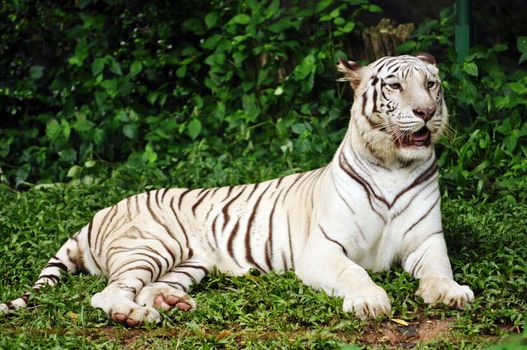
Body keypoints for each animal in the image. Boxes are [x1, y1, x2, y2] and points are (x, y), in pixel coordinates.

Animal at [0, 54, 476, 326]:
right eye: (395, 85)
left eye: (431, 83)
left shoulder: (427, 240)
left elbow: (439, 270)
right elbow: (353, 272)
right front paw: (370, 301)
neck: (392, 166)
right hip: (150, 246)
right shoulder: (323, 249)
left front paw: (451, 294)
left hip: (187, 264)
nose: (427, 112)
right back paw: (134, 315)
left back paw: (171, 304)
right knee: (108, 293)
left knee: (147, 287)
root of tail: (100, 212)